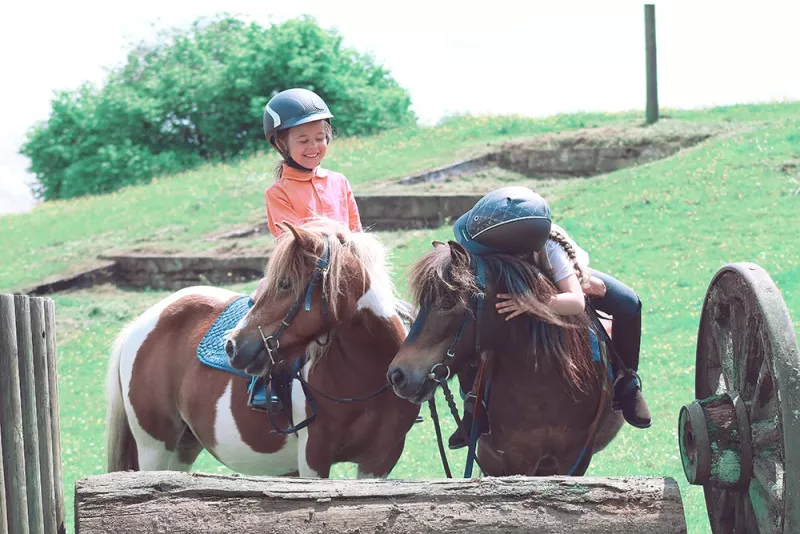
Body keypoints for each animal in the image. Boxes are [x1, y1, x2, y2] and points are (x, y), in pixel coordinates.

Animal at [106, 218, 420, 478]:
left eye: (285, 284)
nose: (232, 346)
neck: (362, 378)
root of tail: (140, 324)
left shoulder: (379, 461)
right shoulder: (313, 457)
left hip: (184, 446)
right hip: (154, 447)